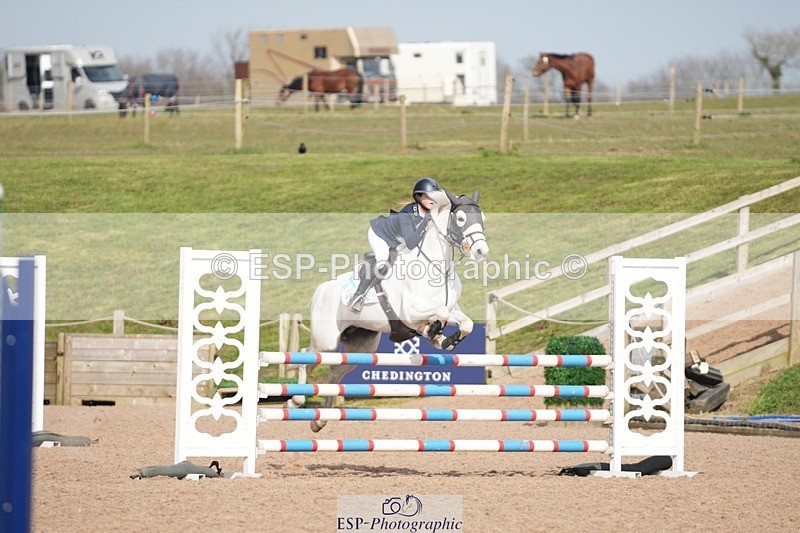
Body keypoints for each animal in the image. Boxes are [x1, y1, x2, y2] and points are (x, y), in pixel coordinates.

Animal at [289, 188, 489, 432]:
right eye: (460, 219)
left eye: (482, 219)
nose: (481, 251)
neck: (438, 267)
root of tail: (322, 289)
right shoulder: (411, 313)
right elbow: (439, 314)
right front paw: (433, 333)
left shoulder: (451, 310)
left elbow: (464, 322)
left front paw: (443, 339)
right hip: (325, 341)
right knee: (306, 358)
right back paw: (295, 401)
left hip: (361, 348)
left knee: (335, 373)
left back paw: (320, 420)